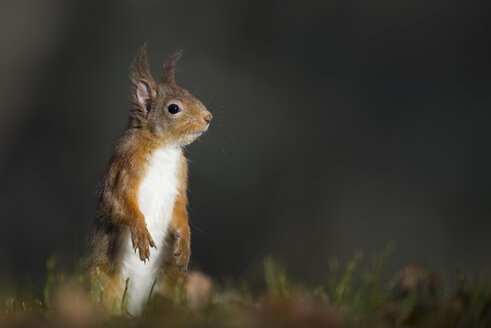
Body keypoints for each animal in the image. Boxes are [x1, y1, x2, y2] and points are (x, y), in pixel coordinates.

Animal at [85, 44, 212, 316]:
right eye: (173, 108)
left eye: (188, 91)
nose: (208, 117)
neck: (164, 147)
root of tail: (135, 311)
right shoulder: (123, 168)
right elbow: (116, 204)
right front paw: (141, 231)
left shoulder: (179, 182)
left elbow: (180, 211)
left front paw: (185, 243)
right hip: (101, 280)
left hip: (172, 280)